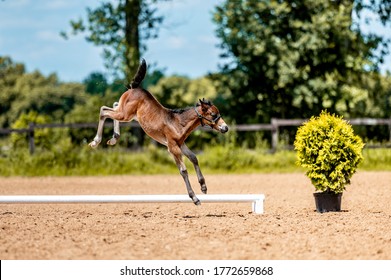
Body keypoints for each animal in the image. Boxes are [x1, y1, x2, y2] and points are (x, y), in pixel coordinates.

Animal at [89, 59, 230, 205]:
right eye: (213, 114)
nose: (225, 128)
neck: (178, 123)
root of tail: (134, 88)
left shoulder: (181, 144)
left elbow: (194, 158)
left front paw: (203, 186)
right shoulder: (172, 147)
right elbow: (183, 170)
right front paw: (194, 198)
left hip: (128, 114)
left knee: (114, 105)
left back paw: (114, 138)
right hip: (125, 114)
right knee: (104, 111)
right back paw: (96, 141)